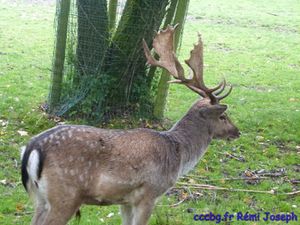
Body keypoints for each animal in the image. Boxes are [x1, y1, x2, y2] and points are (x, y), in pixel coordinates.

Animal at [21, 25, 239, 224]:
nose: (237, 131)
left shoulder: (125, 201)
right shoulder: (148, 194)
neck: (178, 157)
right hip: (65, 195)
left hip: (39, 198)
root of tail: (32, 148)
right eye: (223, 116)